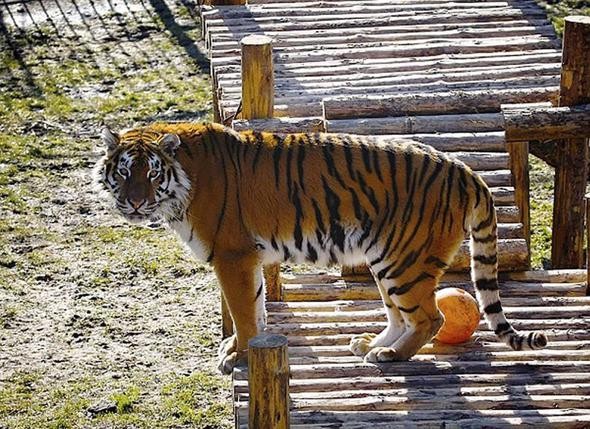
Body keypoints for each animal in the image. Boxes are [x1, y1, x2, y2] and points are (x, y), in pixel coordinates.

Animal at [93, 122, 552, 372]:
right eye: (125, 171)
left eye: (152, 173)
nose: (135, 202)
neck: (182, 181)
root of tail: (464, 170)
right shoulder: (247, 258)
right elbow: (256, 307)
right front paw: (245, 346)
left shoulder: (232, 254)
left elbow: (243, 312)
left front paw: (239, 356)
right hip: (387, 258)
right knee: (401, 315)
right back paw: (372, 345)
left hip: (404, 262)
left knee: (430, 317)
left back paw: (390, 356)